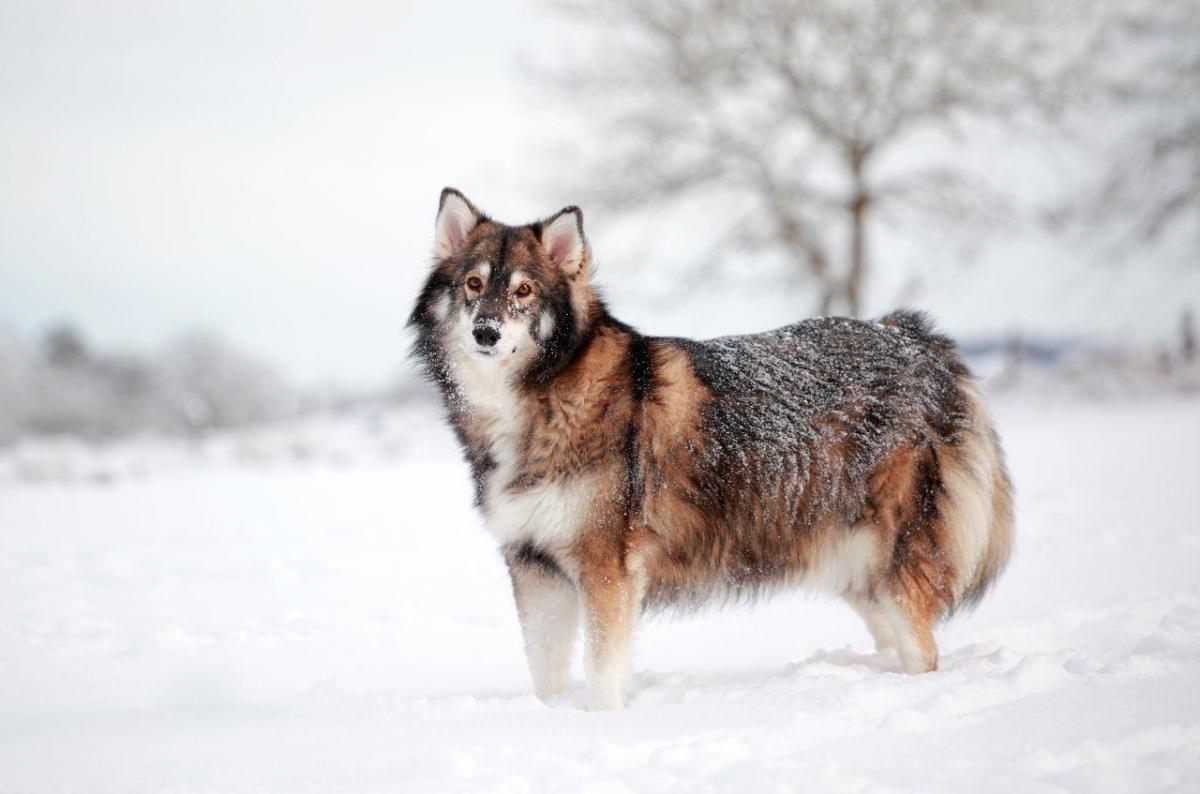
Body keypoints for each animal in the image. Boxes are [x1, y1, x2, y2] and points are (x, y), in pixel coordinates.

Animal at [409, 188, 1014, 710]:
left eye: (523, 291)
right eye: (472, 284)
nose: (486, 332)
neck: (541, 399)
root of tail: (915, 337)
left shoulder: (606, 570)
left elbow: (603, 673)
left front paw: (601, 722)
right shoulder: (534, 568)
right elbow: (544, 674)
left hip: (890, 567)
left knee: (925, 653)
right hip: (855, 570)